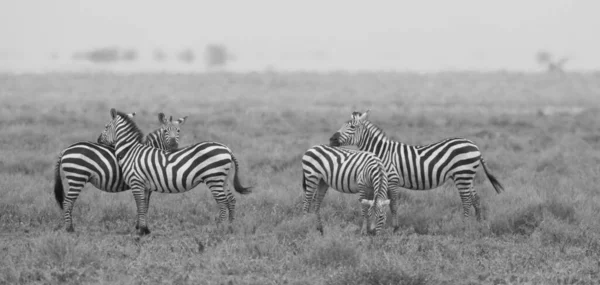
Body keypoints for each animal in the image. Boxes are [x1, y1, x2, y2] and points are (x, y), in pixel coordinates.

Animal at [53, 111, 186, 231]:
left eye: (178, 131)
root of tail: (65, 150)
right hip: (77, 177)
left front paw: (139, 225)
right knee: (67, 202)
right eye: (165, 131)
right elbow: (144, 205)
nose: (174, 146)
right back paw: (70, 228)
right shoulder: (145, 184)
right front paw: (141, 226)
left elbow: (143, 205)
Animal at [98, 107, 251, 234]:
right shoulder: (145, 186)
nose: (98, 139)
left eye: (106, 127)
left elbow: (140, 205)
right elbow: (144, 205)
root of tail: (227, 149)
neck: (131, 151)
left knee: (223, 201)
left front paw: (140, 231)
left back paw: (219, 228)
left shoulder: (136, 182)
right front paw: (144, 228)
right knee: (231, 199)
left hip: (214, 178)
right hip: (223, 179)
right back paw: (230, 226)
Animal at [330, 108, 504, 226]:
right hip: (467, 177)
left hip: (462, 175)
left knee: (467, 200)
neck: (382, 152)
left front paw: (395, 227)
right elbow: (382, 202)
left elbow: (393, 204)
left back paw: (464, 224)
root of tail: (474, 145)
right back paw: (478, 224)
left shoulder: (392, 178)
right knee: (476, 199)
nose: (331, 139)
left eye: (352, 127)